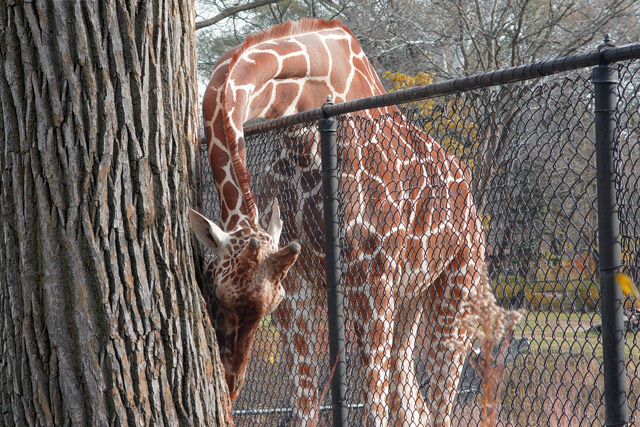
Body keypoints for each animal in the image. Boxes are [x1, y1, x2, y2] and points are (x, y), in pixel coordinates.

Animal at [204, 18, 484, 426]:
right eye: (215, 295)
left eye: (265, 307)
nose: (231, 385)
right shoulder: (299, 288)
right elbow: (304, 405)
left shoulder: (371, 278)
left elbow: (373, 407)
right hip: (409, 298)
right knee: (412, 397)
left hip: (459, 285)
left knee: (440, 401)